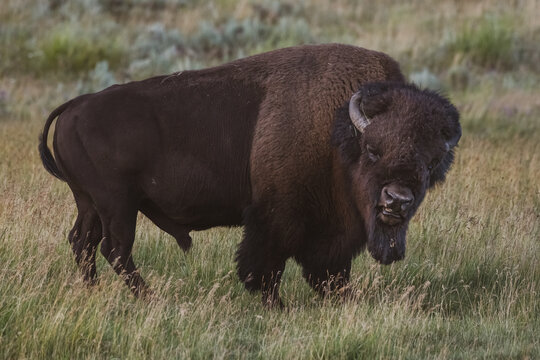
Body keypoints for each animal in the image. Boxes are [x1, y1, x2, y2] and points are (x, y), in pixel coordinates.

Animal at [39, 42, 460, 306]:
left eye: (429, 165)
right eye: (373, 150)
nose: (396, 201)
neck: (339, 133)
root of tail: (76, 105)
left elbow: (328, 272)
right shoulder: (277, 218)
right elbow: (267, 266)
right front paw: (277, 306)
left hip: (90, 203)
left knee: (83, 242)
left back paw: (93, 292)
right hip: (117, 204)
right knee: (115, 249)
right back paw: (151, 298)